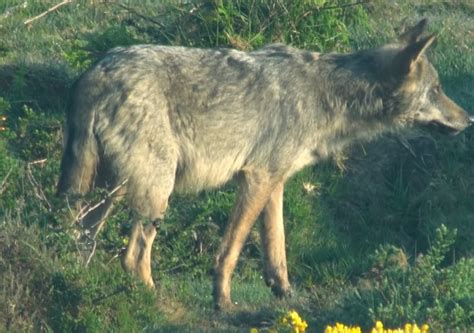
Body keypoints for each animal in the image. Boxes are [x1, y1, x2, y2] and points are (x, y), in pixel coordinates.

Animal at [58, 18, 470, 308]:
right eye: (437, 90)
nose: (469, 120)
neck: (326, 96)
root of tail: (96, 70)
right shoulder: (256, 178)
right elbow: (231, 249)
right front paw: (223, 302)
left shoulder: (275, 182)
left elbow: (277, 249)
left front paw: (285, 295)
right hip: (156, 192)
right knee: (133, 256)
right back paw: (149, 299)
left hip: (107, 191)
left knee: (78, 235)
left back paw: (77, 280)